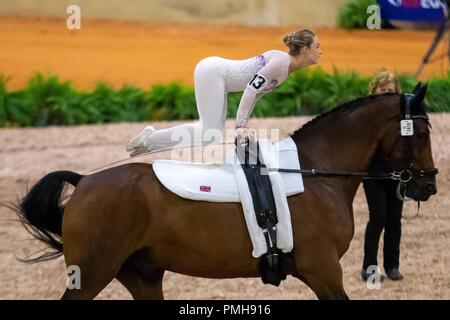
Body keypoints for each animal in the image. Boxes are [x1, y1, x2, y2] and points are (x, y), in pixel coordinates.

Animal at [11, 84, 436, 298]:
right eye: (423, 132)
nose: (429, 184)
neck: (316, 172)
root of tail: (85, 181)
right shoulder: (324, 269)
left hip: (141, 275)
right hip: (92, 272)